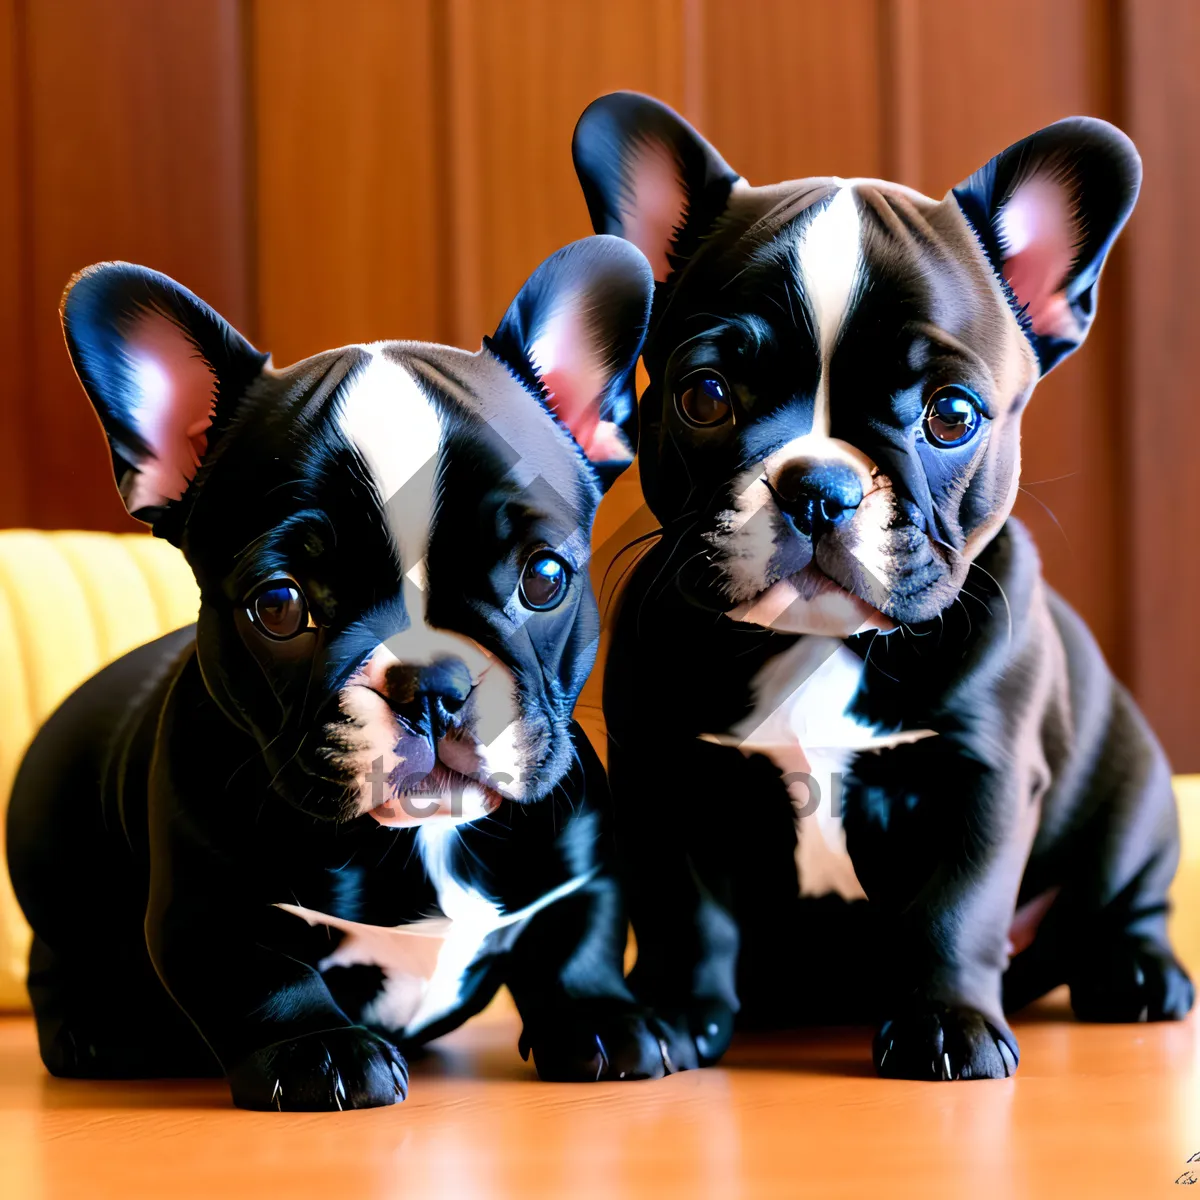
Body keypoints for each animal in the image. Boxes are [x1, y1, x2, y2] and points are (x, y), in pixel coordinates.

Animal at [4, 236, 676, 1113]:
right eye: (280, 605)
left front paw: (600, 1019)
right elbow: (263, 977)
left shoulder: (582, 871)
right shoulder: (207, 904)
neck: (423, 838)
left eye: (544, 578)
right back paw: (95, 1033)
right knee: (55, 965)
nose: (433, 688)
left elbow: (578, 945)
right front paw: (317, 1051)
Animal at [576, 98, 1195, 1084]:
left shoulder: (982, 775)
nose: (818, 486)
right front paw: (672, 1012)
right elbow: (683, 910)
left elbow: (958, 907)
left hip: (1132, 799)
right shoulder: (663, 770)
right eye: (705, 395)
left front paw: (947, 1023)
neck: (819, 643)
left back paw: (1136, 972)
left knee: (1127, 897)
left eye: (952, 416)